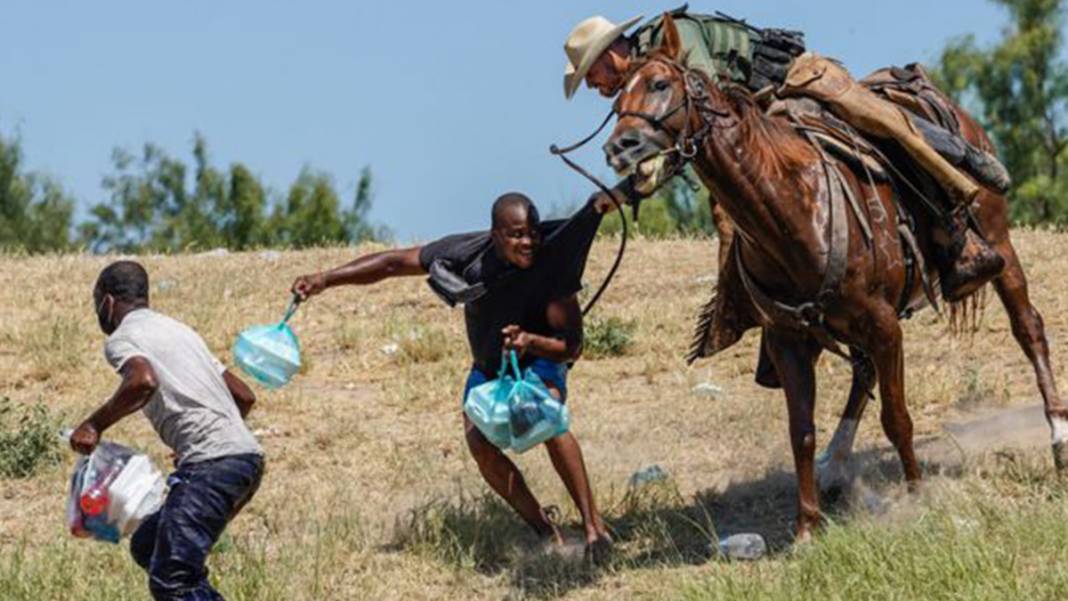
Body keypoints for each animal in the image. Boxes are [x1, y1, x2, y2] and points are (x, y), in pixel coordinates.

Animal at [606, 15, 1068, 540]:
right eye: (616, 101)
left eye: (661, 85)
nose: (619, 147)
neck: (793, 209)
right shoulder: (788, 338)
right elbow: (801, 431)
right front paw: (807, 526)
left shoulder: (884, 325)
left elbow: (897, 418)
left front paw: (917, 496)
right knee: (862, 371)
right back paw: (836, 464)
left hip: (999, 244)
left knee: (1028, 327)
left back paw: (1057, 437)